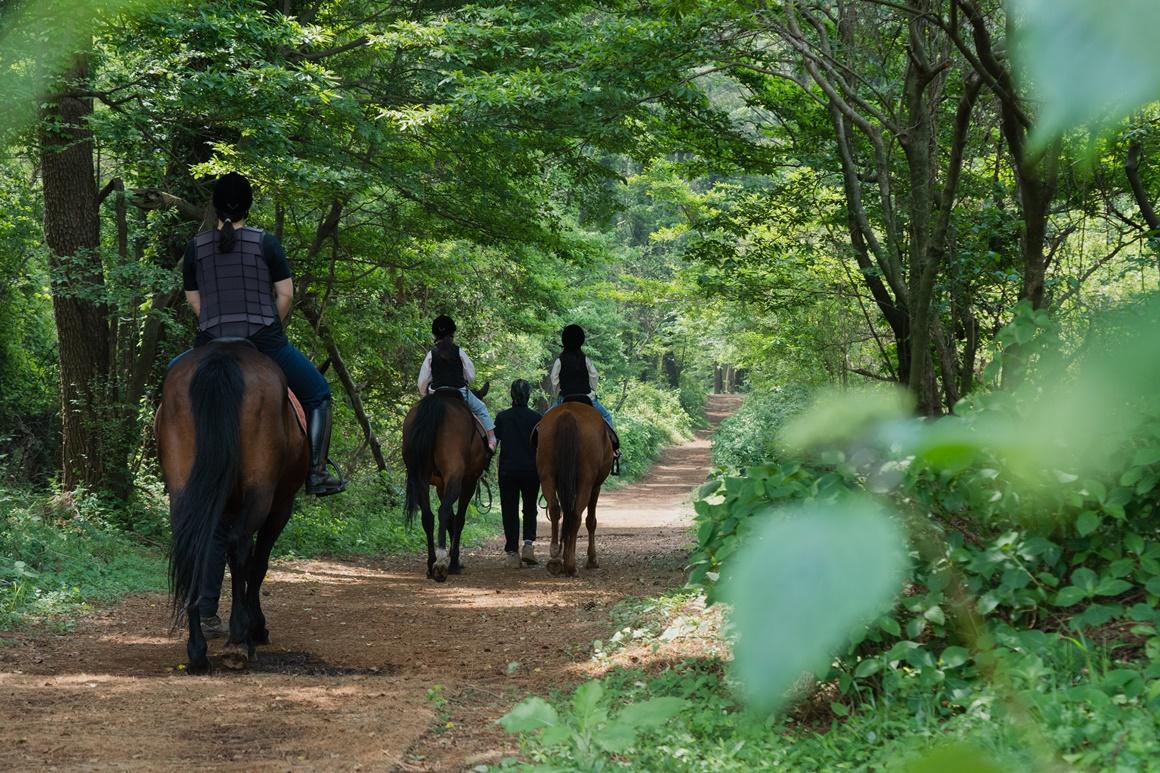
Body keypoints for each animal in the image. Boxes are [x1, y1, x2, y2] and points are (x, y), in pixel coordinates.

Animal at [155, 341, 308, 673]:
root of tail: (222, 355)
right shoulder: (281, 506)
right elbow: (257, 564)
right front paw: (256, 627)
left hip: (185, 489)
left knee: (194, 548)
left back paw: (197, 651)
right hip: (261, 492)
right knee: (241, 549)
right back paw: (239, 642)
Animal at [403, 383, 489, 580]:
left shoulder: (441, 486)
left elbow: (451, 518)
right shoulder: (468, 482)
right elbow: (458, 519)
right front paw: (455, 560)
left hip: (420, 480)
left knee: (428, 517)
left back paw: (431, 563)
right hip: (456, 477)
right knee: (442, 512)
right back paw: (442, 563)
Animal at [533, 399, 617, 575]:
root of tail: (568, 415)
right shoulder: (595, 487)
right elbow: (591, 521)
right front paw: (592, 560)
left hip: (547, 477)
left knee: (555, 510)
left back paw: (555, 560)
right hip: (586, 482)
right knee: (577, 514)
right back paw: (571, 565)